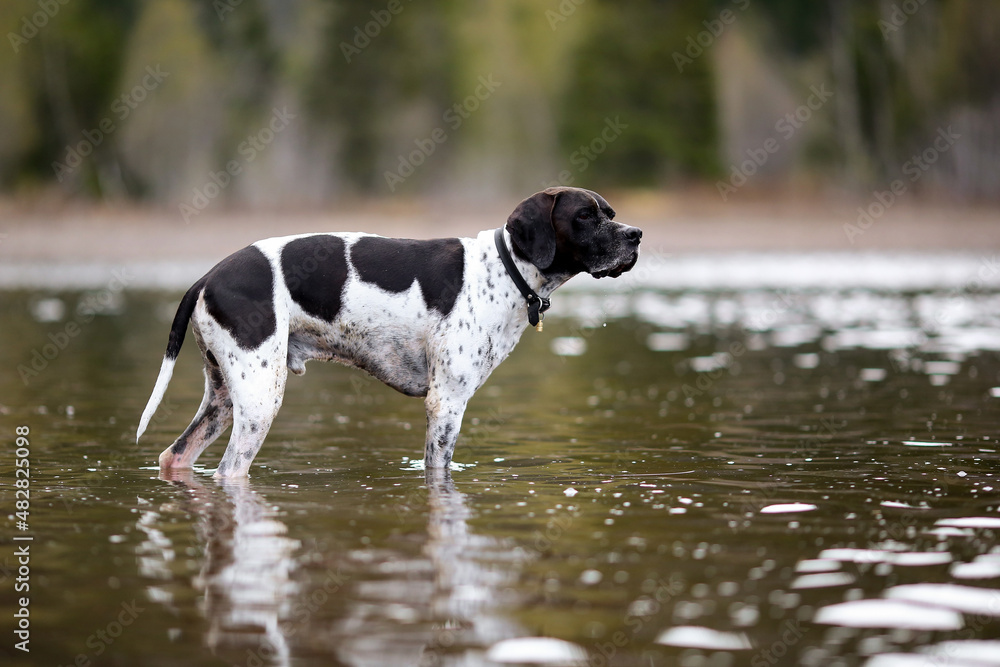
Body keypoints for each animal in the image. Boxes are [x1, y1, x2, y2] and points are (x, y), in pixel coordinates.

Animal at [137, 188, 640, 478]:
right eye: (585, 215)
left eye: (611, 212)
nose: (635, 234)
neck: (504, 268)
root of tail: (207, 276)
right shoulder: (446, 404)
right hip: (259, 401)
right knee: (228, 472)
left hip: (224, 399)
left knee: (174, 457)